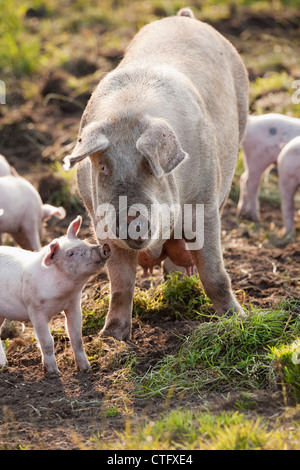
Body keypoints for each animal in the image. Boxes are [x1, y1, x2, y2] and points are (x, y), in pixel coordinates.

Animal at [0, 217, 110, 374]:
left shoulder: (74, 304)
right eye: (70, 254)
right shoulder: (35, 310)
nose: (103, 248)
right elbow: (47, 341)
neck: (62, 297)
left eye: (85, 242)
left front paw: (85, 369)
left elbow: (76, 337)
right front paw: (53, 373)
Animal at [63, 9, 248, 340]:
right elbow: (120, 286)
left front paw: (238, 321)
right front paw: (111, 338)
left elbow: (214, 274)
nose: (129, 217)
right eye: (103, 166)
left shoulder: (205, 206)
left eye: (149, 167)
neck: (127, 114)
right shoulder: (101, 226)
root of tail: (183, 17)